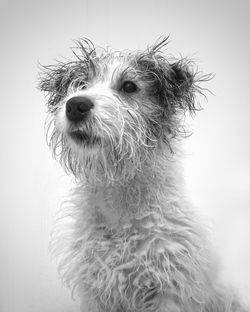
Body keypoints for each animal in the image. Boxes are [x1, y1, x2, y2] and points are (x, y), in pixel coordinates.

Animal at [38, 37, 247, 310]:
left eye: (129, 86)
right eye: (82, 84)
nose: (76, 105)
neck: (120, 217)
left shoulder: (169, 291)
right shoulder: (95, 292)